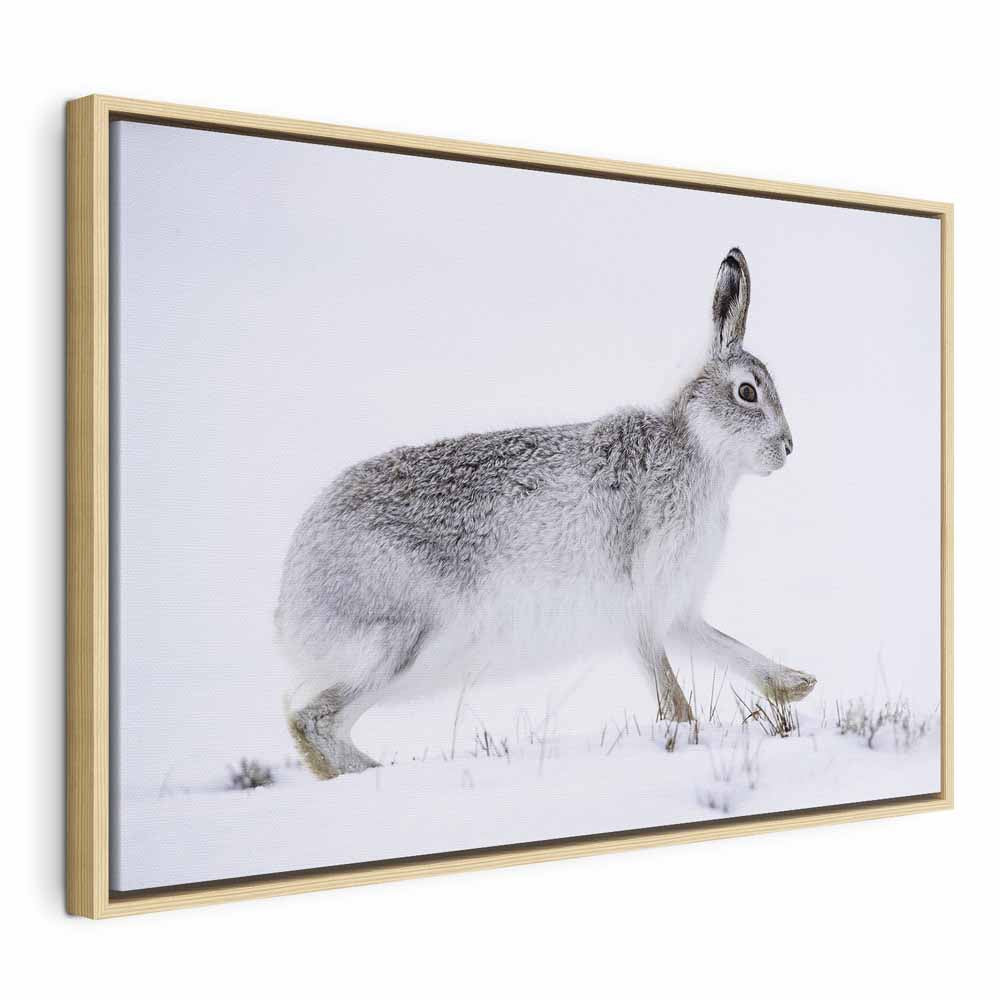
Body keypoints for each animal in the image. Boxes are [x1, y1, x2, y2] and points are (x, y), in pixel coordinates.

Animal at [275, 247, 816, 779]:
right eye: (747, 392)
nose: (788, 447)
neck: (697, 449)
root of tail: (292, 598)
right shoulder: (640, 602)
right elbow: (669, 688)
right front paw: (687, 734)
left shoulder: (676, 608)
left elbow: (725, 646)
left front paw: (796, 685)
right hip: (402, 643)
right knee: (312, 721)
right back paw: (377, 773)